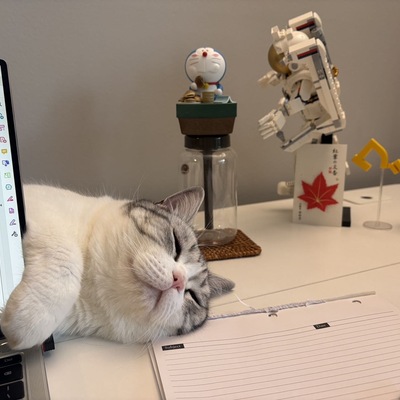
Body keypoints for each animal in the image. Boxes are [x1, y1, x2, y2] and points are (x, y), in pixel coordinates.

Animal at [1, 184, 234, 350]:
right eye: (176, 244)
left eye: (192, 295)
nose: (178, 280)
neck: (90, 286)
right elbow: (66, 255)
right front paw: (28, 318)